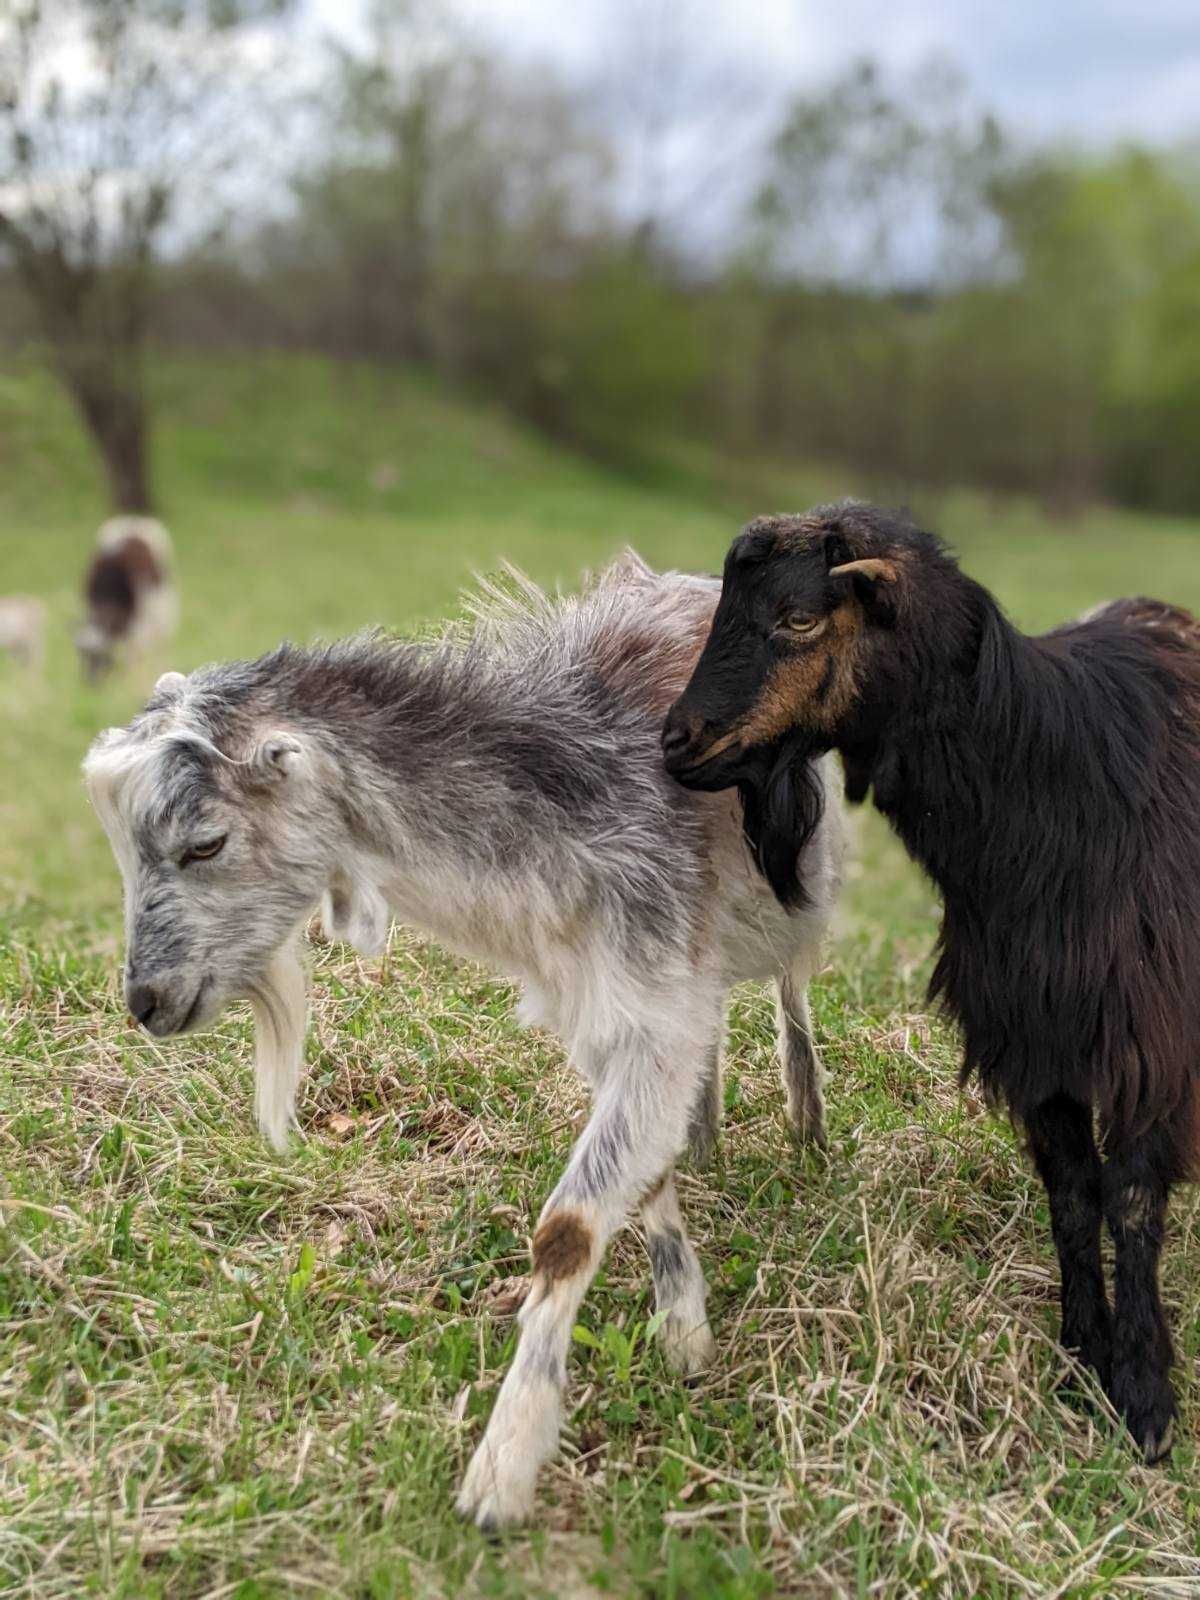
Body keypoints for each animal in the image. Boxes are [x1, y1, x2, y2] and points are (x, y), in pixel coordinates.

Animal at [78, 518, 178, 681]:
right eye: (81, 655)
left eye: (102, 656)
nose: (90, 681)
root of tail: (134, 520)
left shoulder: (139, 627)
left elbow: (136, 657)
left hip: (164, 610)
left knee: (160, 647)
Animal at [82, 556, 844, 1529]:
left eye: (206, 842)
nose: (146, 1001)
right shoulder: (616, 1013)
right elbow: (645, 1172)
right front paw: (683, 1325)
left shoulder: (652, 1002)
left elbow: (568, 1230)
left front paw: (505, 1468)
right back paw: (711, 1131)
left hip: (802, 881)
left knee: (792, 981)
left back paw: (807, 1121)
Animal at [668, 502, 1200, 1465]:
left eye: (799, 617)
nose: (675, 741)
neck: (1051, 794)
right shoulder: (1034, 1036)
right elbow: (1073, 1197)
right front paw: (1080, 1359)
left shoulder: (1150, 1039)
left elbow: (1134, 1203)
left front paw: (1145, 1400)